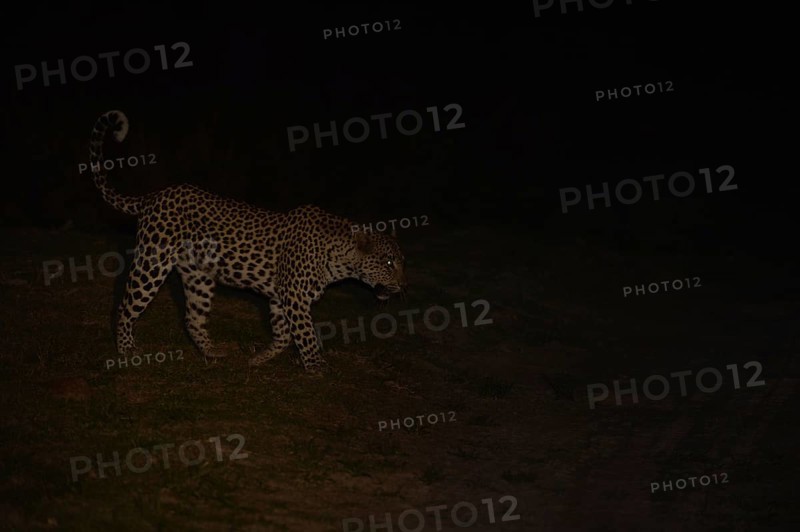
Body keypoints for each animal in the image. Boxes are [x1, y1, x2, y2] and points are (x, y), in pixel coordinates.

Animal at [88, 109, 408, 374]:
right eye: (388, 262)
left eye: (399, 262)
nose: (402, 286)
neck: (340, 260)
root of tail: (153, 196)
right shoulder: (294, 296)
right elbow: (305, 333)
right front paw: (316, 366)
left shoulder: (281, 298)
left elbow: (284, 335)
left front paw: (259, 358)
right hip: (152, 264)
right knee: (126, 305)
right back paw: (127, 350)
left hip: (198, 277)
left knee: (192, 318)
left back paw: (213, 352)